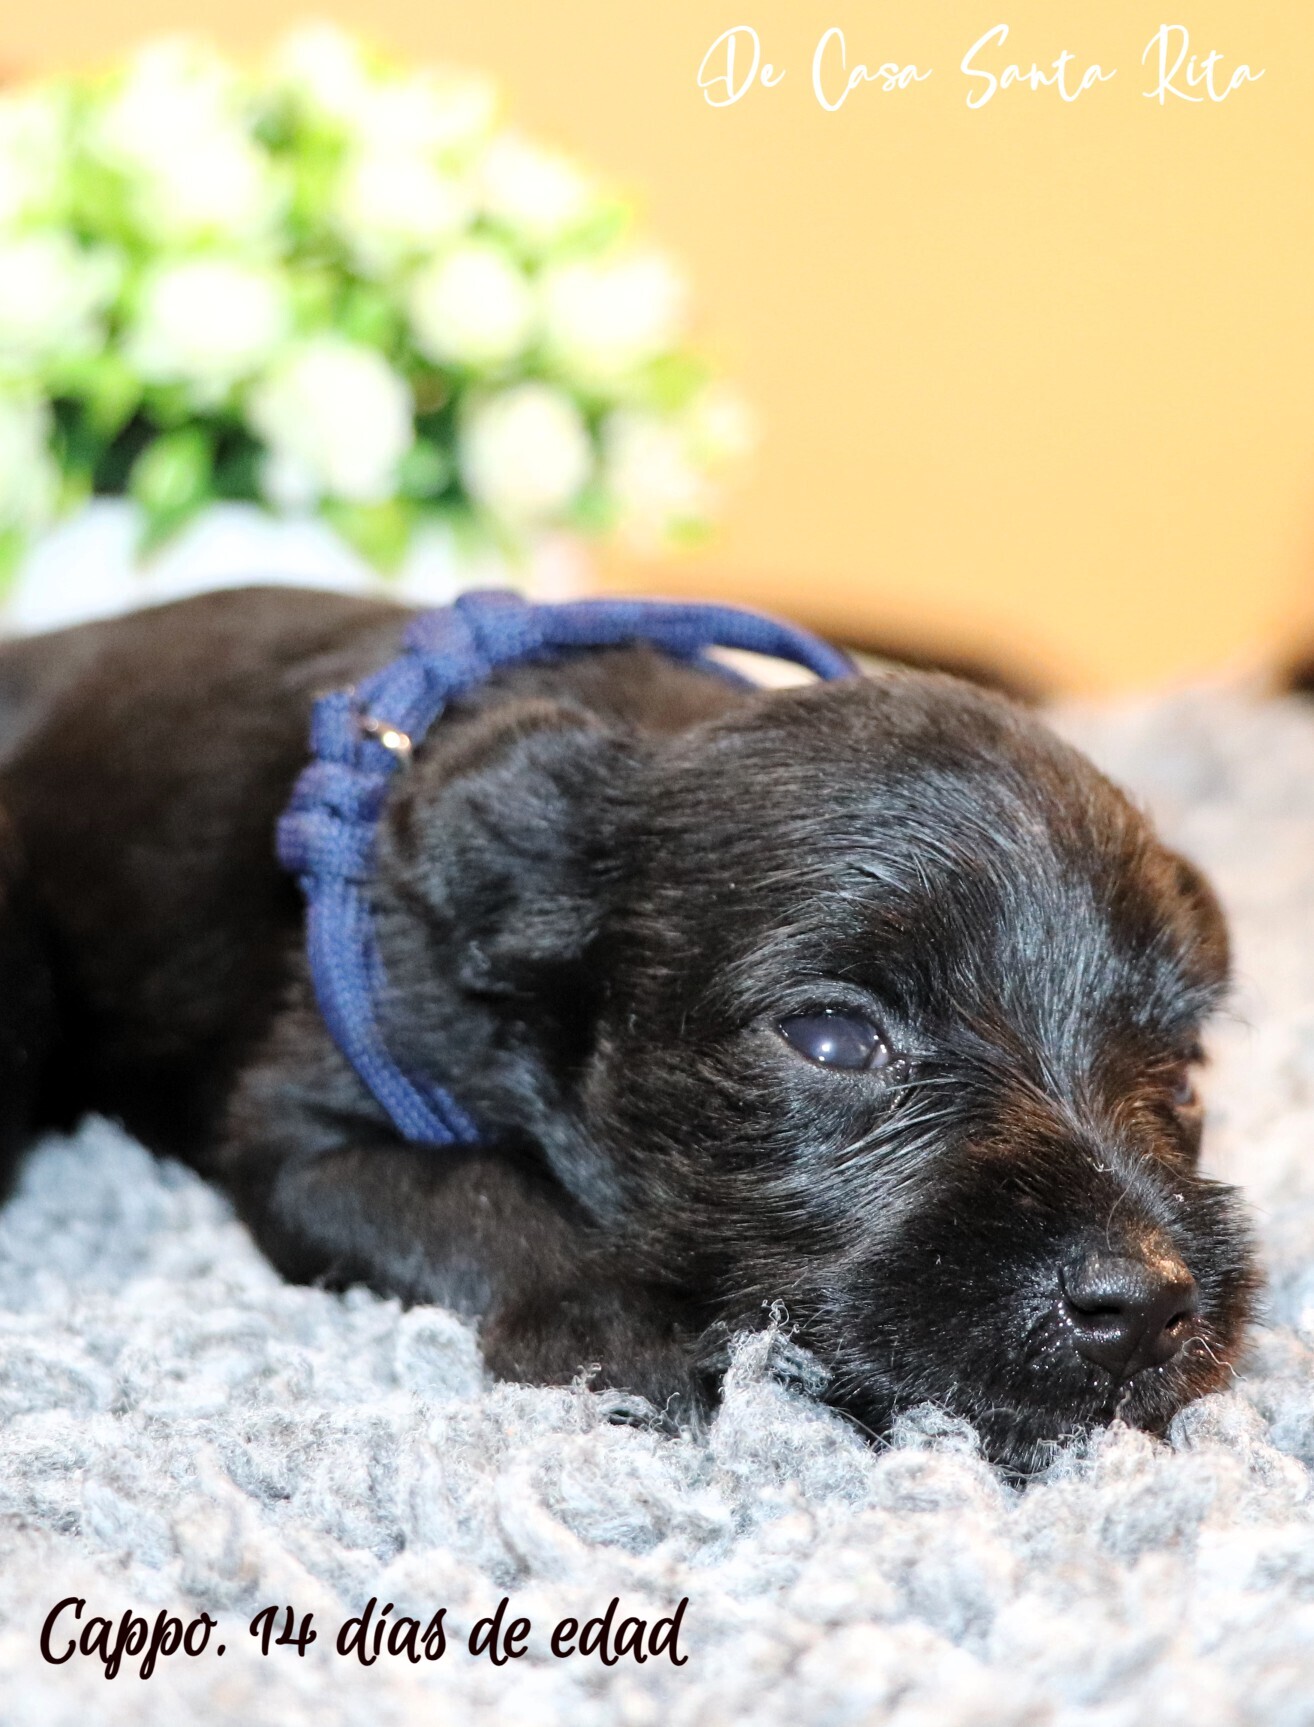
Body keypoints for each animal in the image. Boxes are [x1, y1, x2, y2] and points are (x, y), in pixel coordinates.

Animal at [0, 586, 1257, 1474]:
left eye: (1186, 1075)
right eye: (833, 1038)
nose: (1147, 1304)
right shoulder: (304, 1135)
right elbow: (481, 1195)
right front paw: (636, 1332)